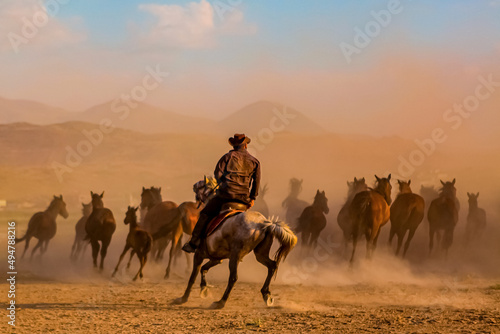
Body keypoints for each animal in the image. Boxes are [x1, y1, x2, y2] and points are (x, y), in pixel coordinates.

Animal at [174, 179, 296, 310]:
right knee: (272, 266)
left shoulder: (199, 255)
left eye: (201, 185)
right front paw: (204, 288)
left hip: (235, 256)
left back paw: (220, 302)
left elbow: (193, 276)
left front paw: (183, 298)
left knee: (233, 277)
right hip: (260, 254)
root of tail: (264, 223)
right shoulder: (216, 259)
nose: (194, 186)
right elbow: (204, 269)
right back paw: (266, 294)